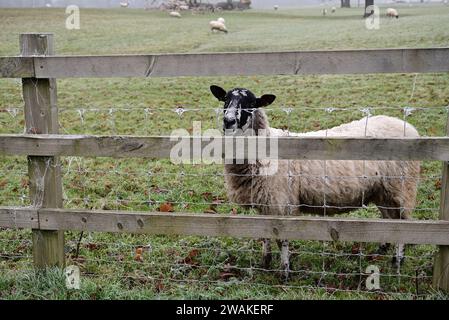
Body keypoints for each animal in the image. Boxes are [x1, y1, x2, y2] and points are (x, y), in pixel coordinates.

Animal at [210, 84, 420, 280]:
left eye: (252, 103)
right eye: (225, 99)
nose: (228, 121)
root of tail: (407, 126)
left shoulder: (282, 203)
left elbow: (281, 238)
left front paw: (285, 272)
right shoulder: (265, 202)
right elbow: (265, 234)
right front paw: (265, 262)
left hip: (402, 188)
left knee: (402, 223)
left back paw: (397, 261)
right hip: (382, 190)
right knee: (389, 219)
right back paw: (383, 247)